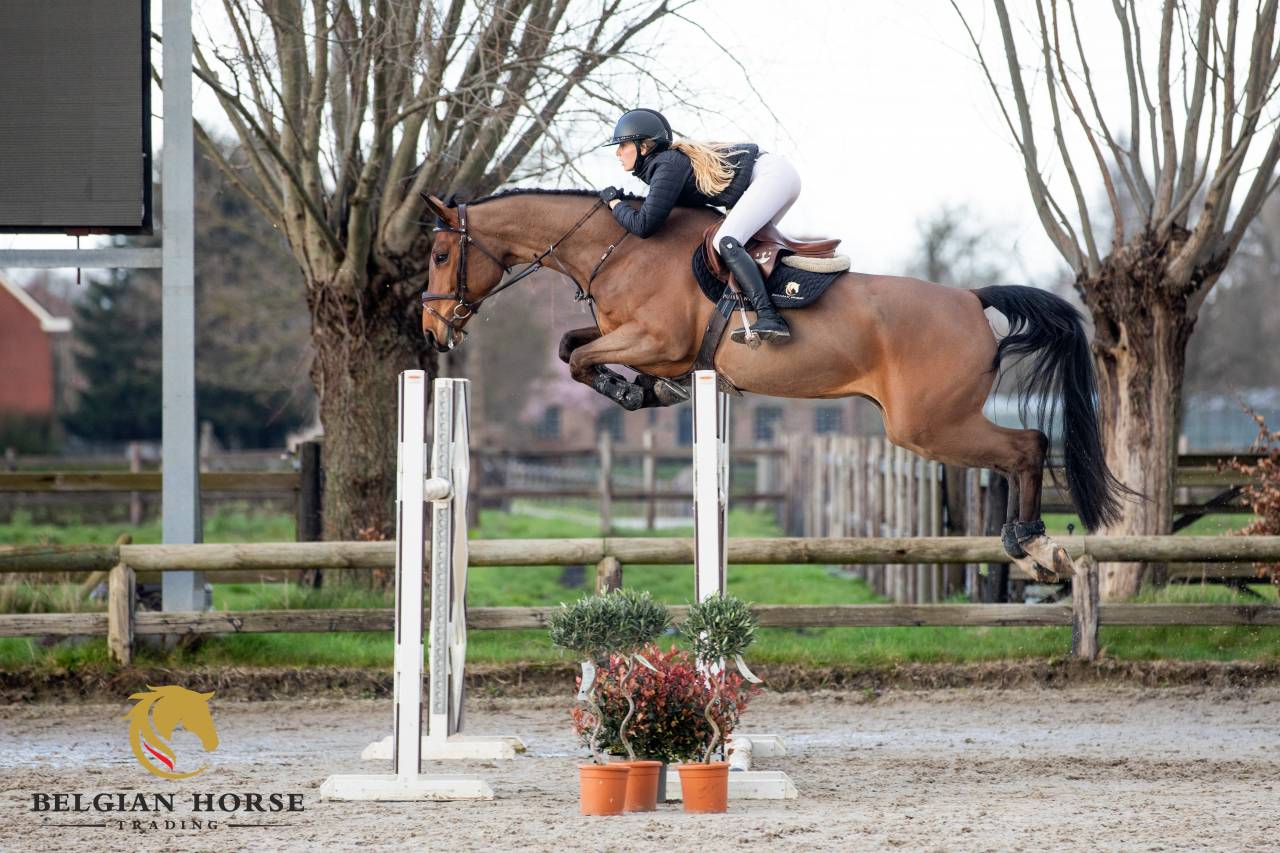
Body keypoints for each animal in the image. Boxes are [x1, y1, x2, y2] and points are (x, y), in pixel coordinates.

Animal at [419, 189, 1127, 580]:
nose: (432, 329)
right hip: (935, 424)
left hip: (928, 425)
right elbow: (570, 348)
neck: (621, 248)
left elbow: (577, 359)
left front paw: (634, 392)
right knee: (1018, 452)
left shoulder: (657, 341)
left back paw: (1034, 546)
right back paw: (1026, 545)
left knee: (1028, 446)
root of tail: (971, 298)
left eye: (440, 255)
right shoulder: (636, 339)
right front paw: (647, 392)